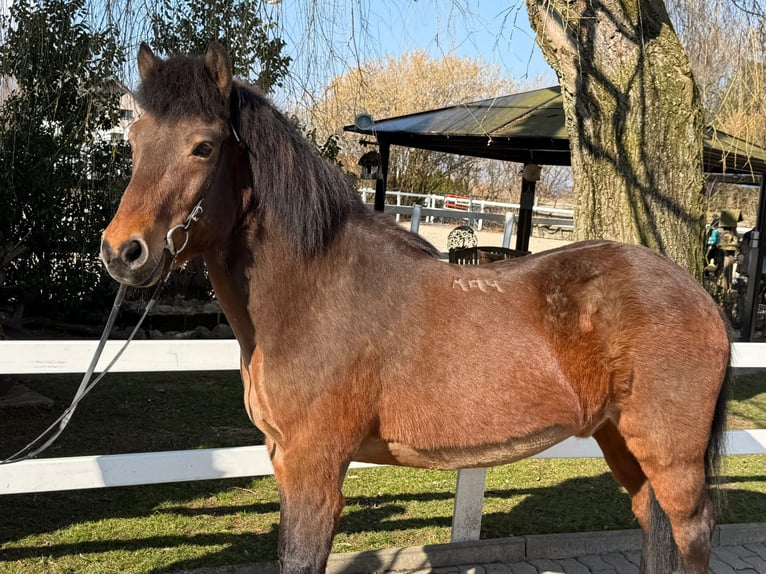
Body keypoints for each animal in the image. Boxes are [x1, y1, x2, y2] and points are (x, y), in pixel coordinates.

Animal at [101, 43, 731, 574]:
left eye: (203, 146)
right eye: (134, 141)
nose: (123, 252)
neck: (313, 294)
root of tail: (698, 296)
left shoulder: (314, 469)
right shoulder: (283, 460)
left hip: (671, 455)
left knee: (691, 532)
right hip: (621, 439)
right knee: (651, 520)